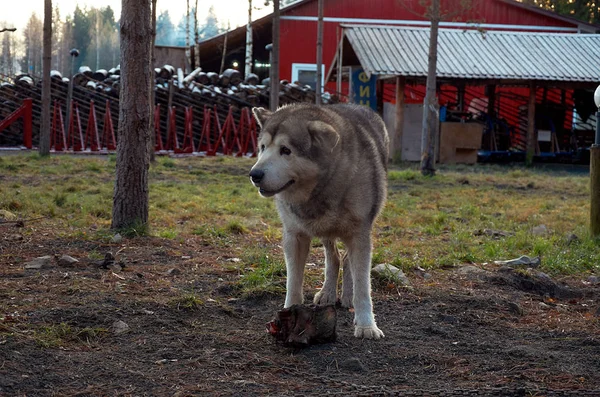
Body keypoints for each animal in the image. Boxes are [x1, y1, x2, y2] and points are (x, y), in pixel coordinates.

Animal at [248, 101, 390, 338]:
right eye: (262, 148)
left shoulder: (359, 235)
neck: (322, 189)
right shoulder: (294, 236)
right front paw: (288, 314)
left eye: (286, 150)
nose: (254, 174)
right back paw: (327, 293)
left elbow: (363, 286)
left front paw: (366, 325)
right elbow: (293, 282)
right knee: (334, 258)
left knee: (346, 260)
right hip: (325, 232)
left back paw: (347, 296)